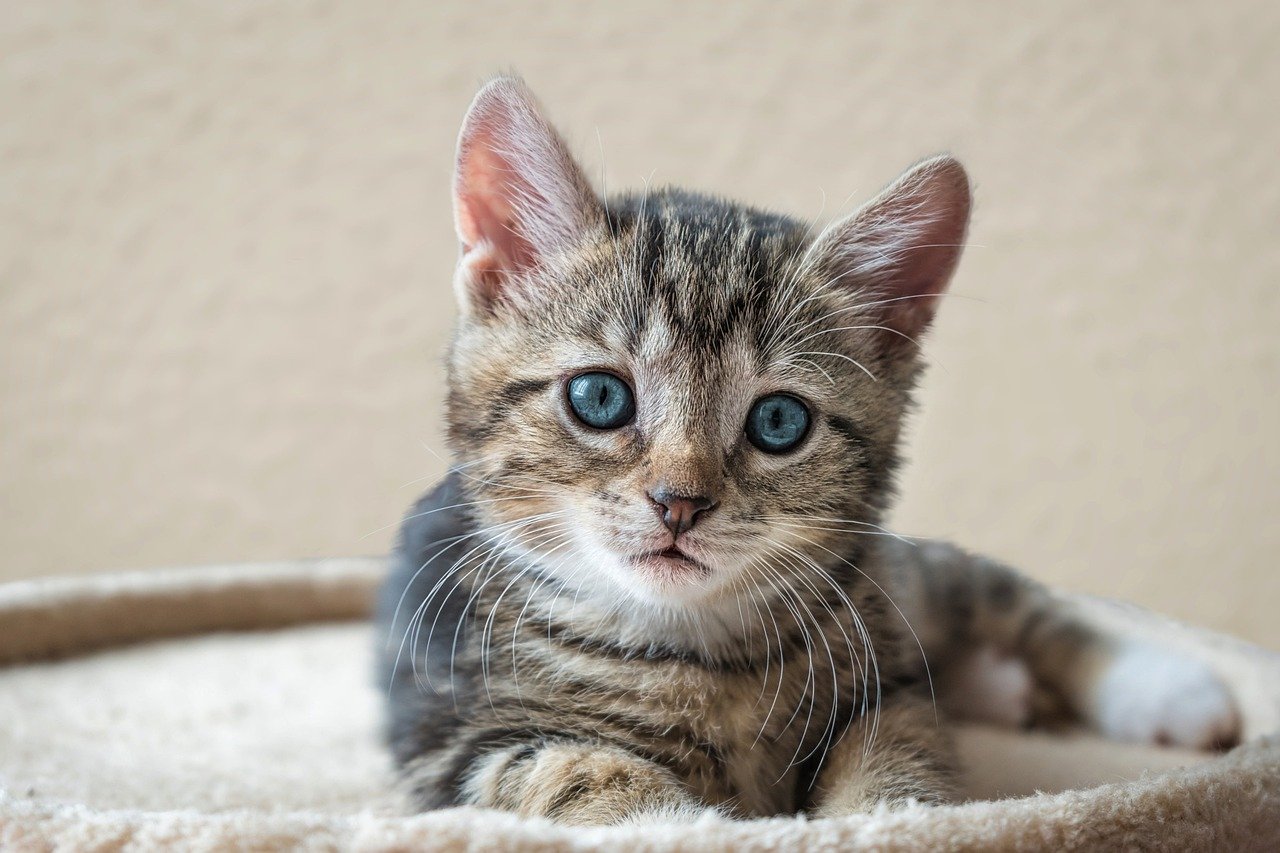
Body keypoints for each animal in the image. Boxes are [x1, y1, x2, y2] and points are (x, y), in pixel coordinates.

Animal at [373, 79, 1244, 824]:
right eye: (599, 399)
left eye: (779, 421)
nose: (679, 501)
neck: (697, 649)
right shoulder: (453, 739)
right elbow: (581, 772)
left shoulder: (888, 689)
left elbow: (897, 756)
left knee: (1004, 597)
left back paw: (1171, 691)